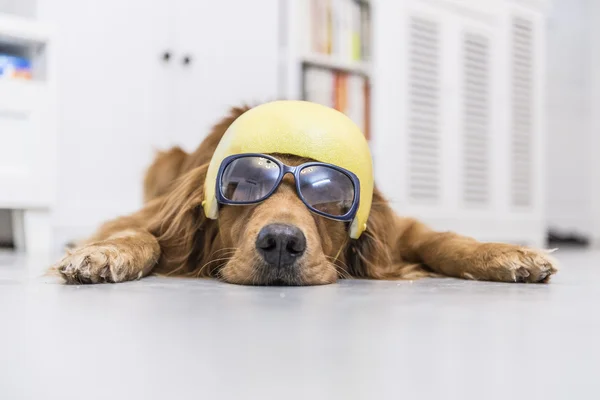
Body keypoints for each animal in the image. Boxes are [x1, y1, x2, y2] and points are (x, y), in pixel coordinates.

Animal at [51, 103, 556, 284]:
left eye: (331, 198)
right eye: (243, 185)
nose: (280, 243)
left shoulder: (397, 227)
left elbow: (440, 239)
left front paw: (505, 254)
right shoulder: (151, 213)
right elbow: (141, 234)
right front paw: (104, 254)